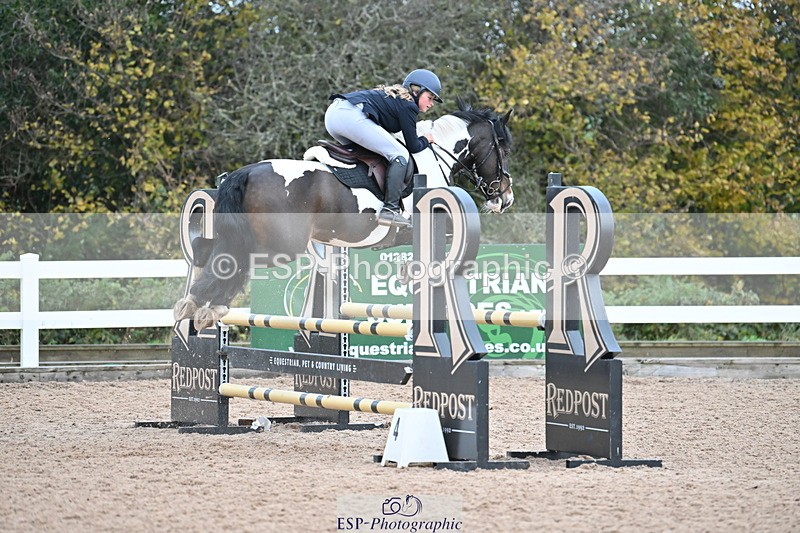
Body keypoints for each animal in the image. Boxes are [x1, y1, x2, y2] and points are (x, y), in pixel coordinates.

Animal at [174, 99, 514, 330]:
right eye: (503, 149)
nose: (505, 198)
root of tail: (243, 173)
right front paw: (411, 271)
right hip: (280, 246)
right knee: (235, 259)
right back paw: (210, 307)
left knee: (212, 252)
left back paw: (194, 304)